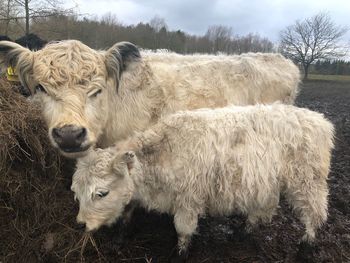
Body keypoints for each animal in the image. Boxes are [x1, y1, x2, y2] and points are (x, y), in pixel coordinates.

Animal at [71, 103, 334, 260]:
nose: (81, 224)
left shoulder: (189, 199)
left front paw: (180, 253)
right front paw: (120, 237)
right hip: (267, 182)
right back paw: (245, 231)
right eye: (77, 193)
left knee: (314, 213)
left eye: (101, 193)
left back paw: (307, 245)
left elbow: (183, 229)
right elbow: (127, 212)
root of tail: (318, 119)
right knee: (264, 207)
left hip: (308, 182)